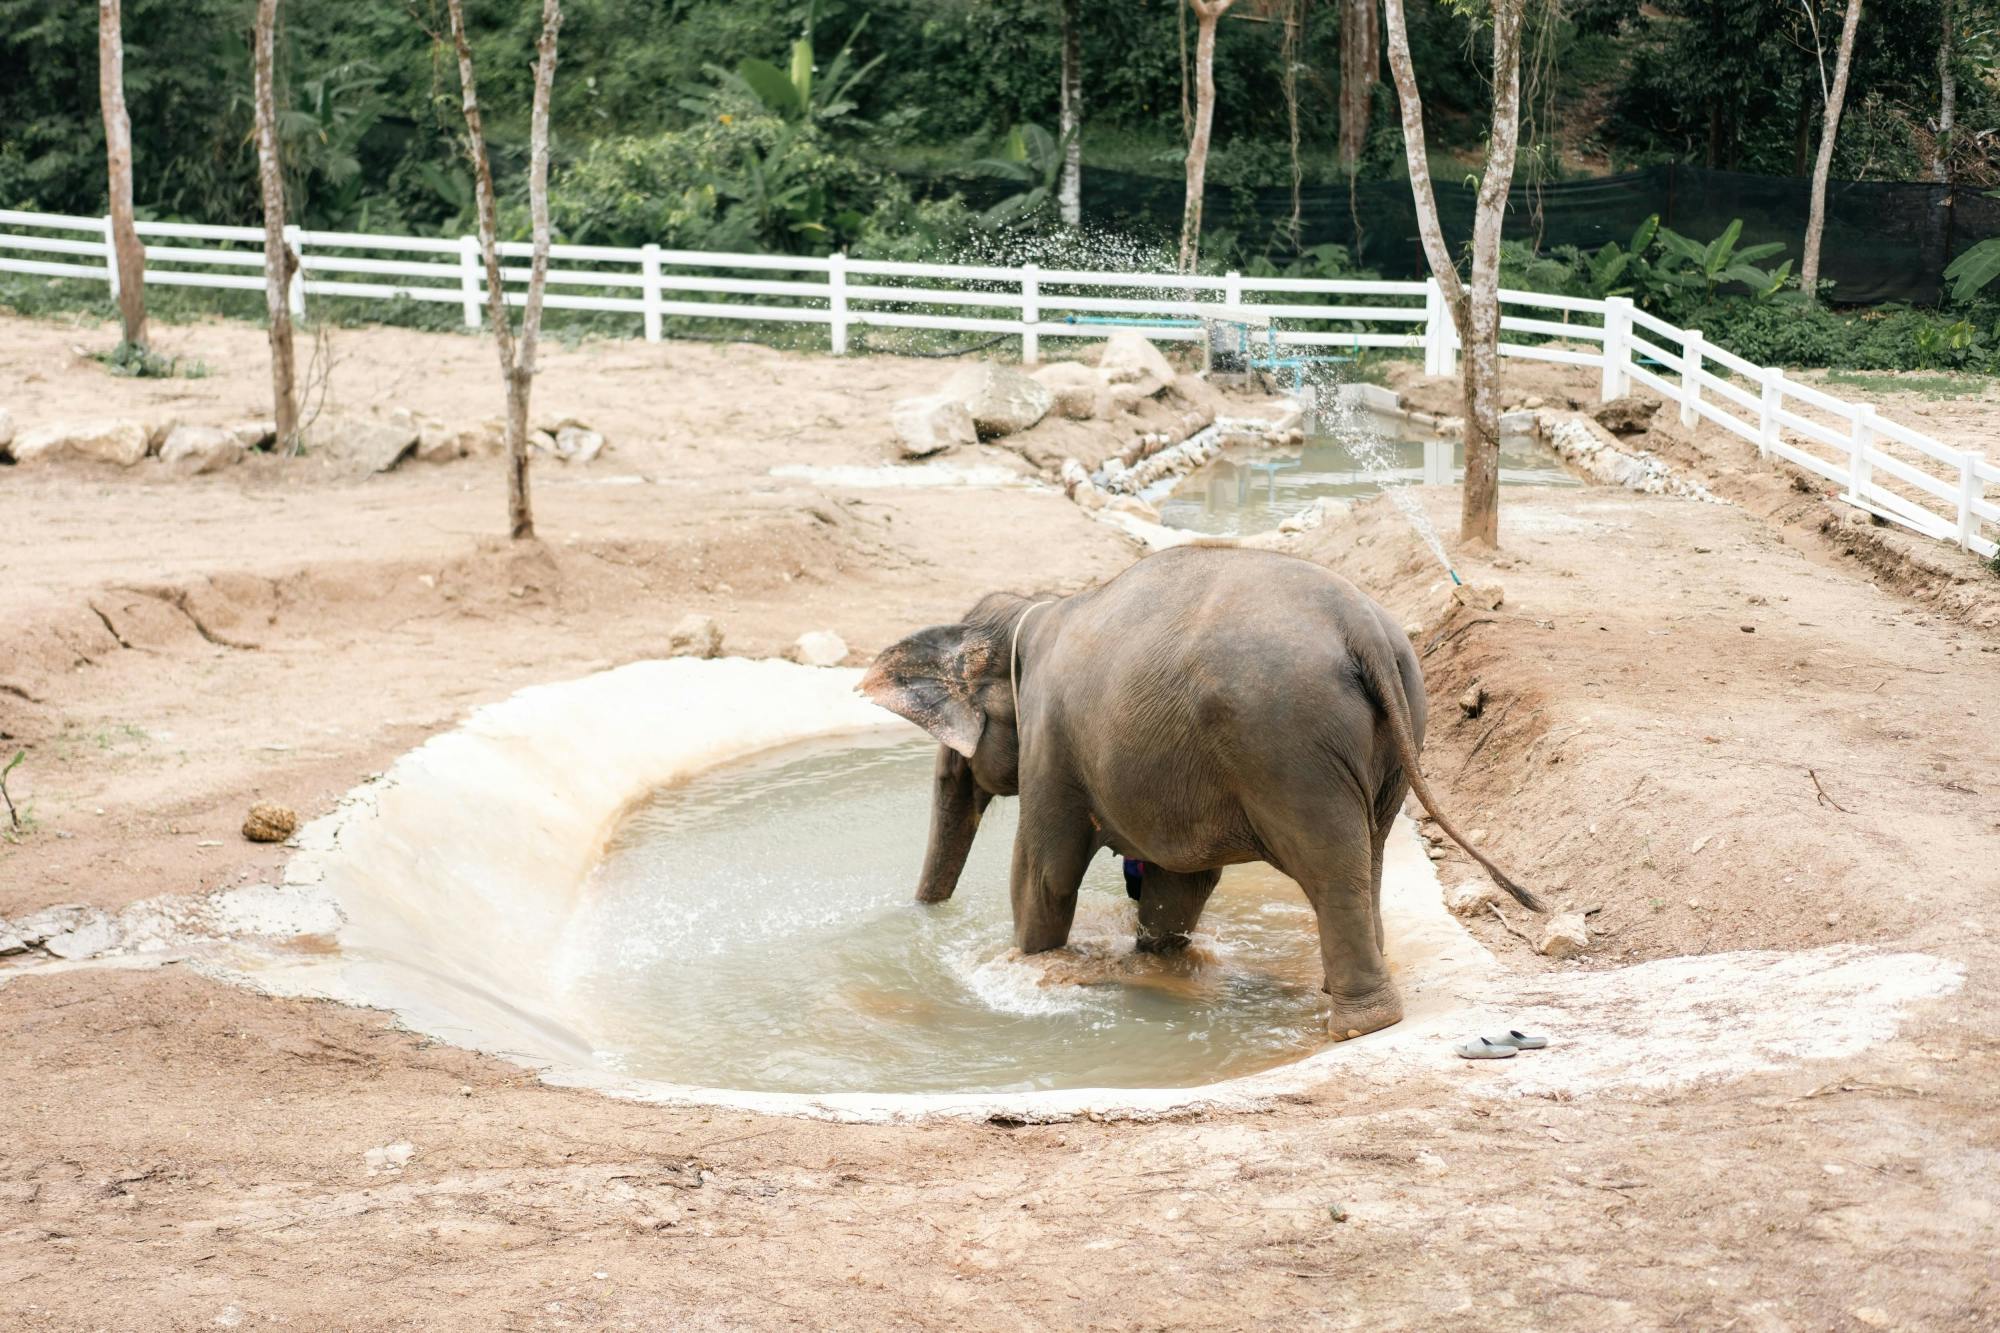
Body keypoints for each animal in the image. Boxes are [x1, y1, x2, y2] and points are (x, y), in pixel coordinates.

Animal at [859, 543, 1541, 1041]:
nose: (923, 917)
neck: (1035, 609)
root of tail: (1363, 628)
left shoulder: (1051, 743)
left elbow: (1043, 874)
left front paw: (1029, 970)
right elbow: (1176, 883)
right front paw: (1151, 965)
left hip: (1287, 743)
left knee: (1330, 869)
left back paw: (1359, 1025)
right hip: (1396, 734)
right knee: (1365, 858)